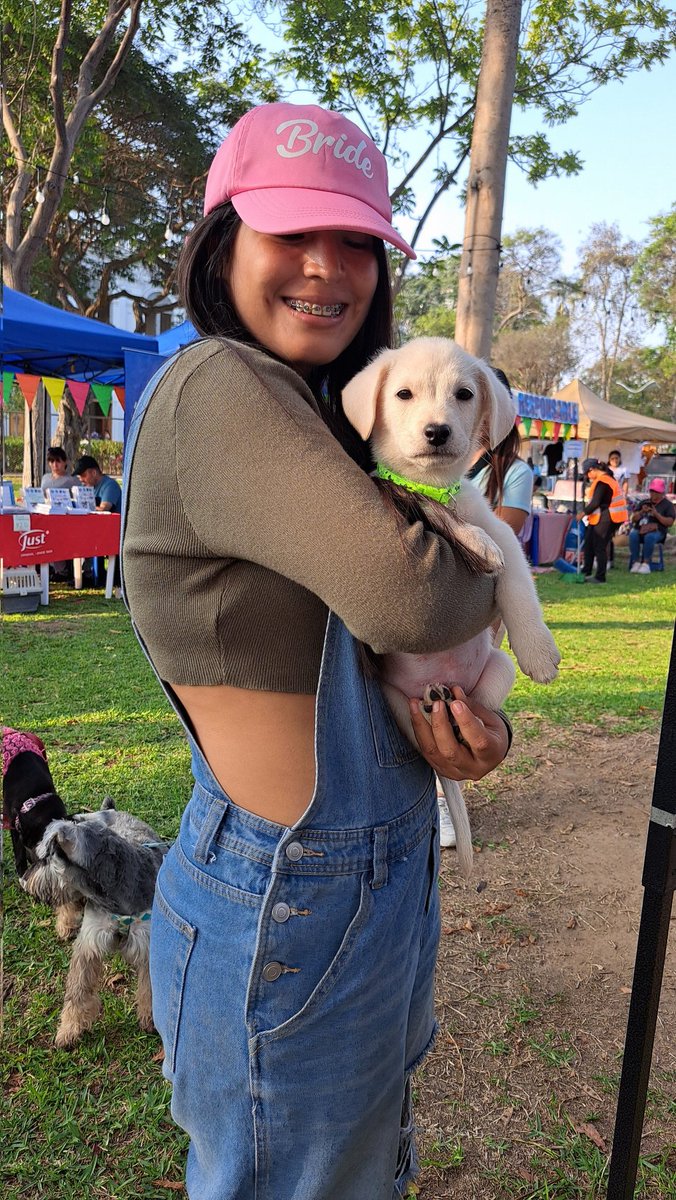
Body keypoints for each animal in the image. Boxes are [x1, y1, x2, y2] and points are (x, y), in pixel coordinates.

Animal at [22, 801, 169, 1046]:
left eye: (44, 858)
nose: (24, 880)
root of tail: (110, 809)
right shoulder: (89, 943)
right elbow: (77, 991)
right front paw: (69, 1030)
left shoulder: (148, 944)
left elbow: (150, 987)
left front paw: (149, 1019)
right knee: (69, 903)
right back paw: (66, 924)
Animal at [343, 333, 561, 878]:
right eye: (403, 394)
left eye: (464, 395)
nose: (437, 431)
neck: (437, 486)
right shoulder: (410, 500)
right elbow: (443, 518)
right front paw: (471, 540)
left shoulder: (507, 533)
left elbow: (516, 585)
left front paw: (540, 653)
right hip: (394, 704)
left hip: (495, 673)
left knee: (473, 714)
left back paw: (455, 712)